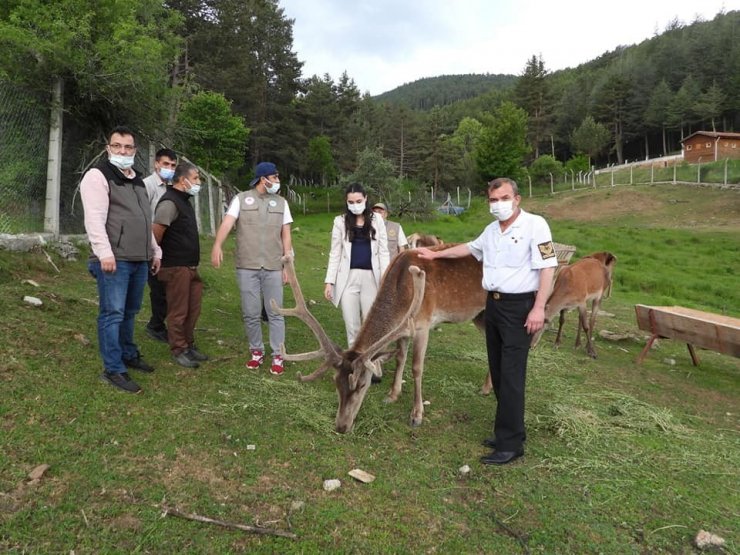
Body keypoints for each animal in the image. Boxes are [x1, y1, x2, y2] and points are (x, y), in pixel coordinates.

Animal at [274, 248, 488, 434]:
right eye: (336, 382)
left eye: (362, 385)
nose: (341, 427)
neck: (404, 294)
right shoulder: (404, 328)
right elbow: (400, 358)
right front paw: (392, 395)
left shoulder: (422, 325)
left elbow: (416, 368)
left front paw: (416, 415)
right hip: (480, 315)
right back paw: (486, 388)